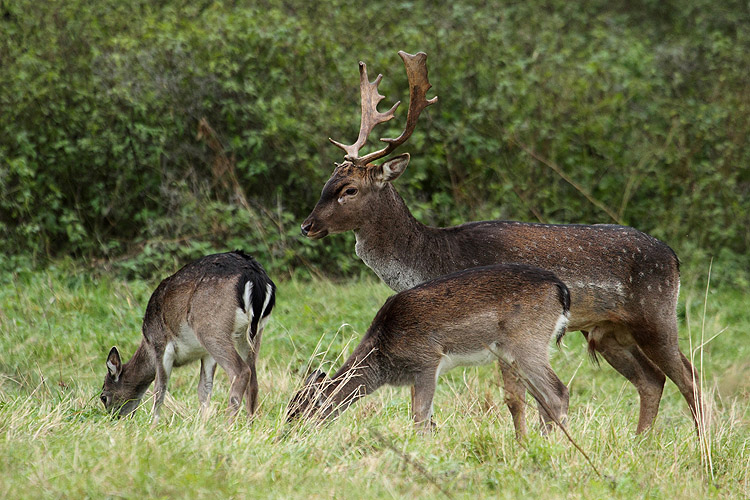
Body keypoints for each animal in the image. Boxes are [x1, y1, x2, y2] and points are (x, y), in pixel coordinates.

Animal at [100, 250, 276, 422]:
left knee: (241, 371)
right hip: (254, 333)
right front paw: (203, 423)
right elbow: (204, 389)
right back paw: (250, 423)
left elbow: (160, 389)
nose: (114, 418)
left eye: (103, 396)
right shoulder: (206, 354)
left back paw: (228, 424)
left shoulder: (161, 345)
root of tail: (257, 279)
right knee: (254, 379)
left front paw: (153, 424)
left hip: (211, 328)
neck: (147, 343)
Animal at [288, 264, 568, 436]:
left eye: (301, 413)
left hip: (527, 341)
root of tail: (561, 289)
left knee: (558, 392)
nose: (286, 436)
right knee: (541, 397)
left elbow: (420, 415)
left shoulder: (426, 360)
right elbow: (425, 417)